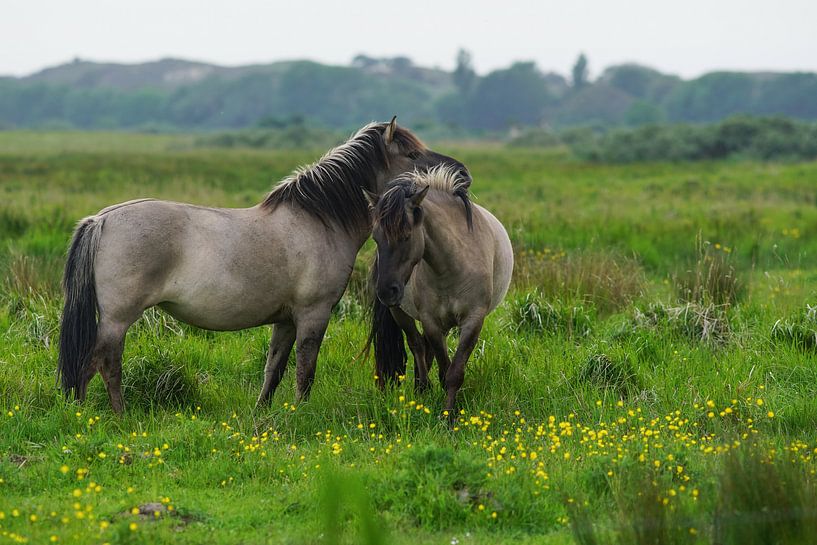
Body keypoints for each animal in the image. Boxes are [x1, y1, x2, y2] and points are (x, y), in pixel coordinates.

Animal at [57, 116, 468, 412]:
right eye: (412, 155)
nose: (461, 173)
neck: (319, 220)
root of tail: (101, 219)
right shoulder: (313, 314)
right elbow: (305, 371)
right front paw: (301, 415)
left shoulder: (284, 320)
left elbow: (274, 370)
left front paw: (263, 417)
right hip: (118, 318)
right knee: (102, 363)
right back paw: (113, 416)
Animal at [368, 166, 512, 420]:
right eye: (376, 237)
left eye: (406, 236)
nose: (386, 291)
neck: (451, 266)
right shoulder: (432, 322)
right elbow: (444, 371)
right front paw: (446, 414)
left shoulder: (473, 321)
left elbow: (455, 372)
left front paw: (449, 416)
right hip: (401, 313)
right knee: (416, 345)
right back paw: (422, 388)